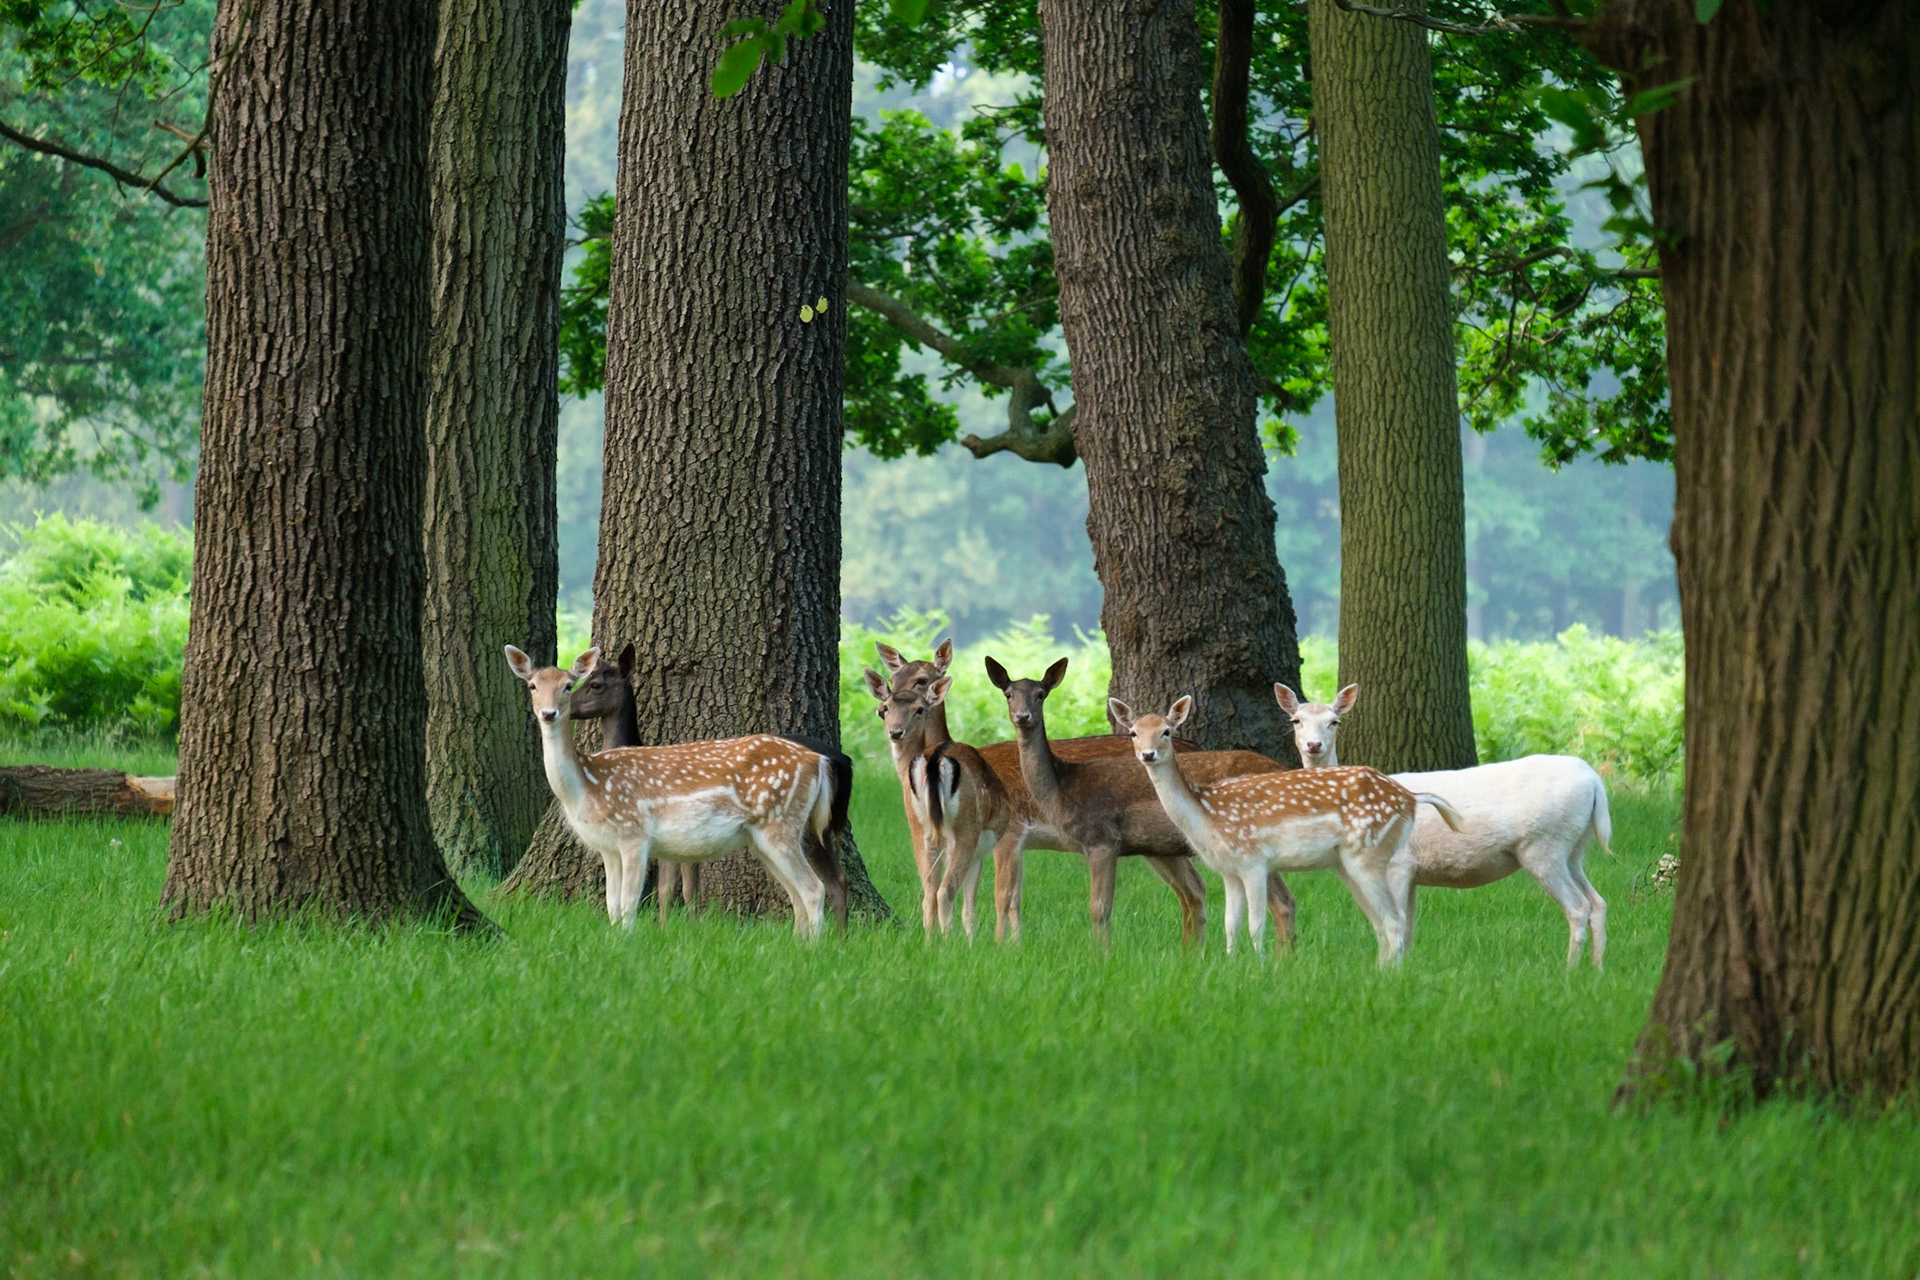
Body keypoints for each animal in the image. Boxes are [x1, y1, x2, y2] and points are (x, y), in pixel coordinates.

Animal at [505, 645, 850, 936]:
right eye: (532, 685)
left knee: (813, 888)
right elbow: (612, 905)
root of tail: (819, 760)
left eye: (569, 685)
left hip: (782, 823)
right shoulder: (608, 847)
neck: (588, 785)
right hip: (762, 838)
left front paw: (628, 945)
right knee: (797, 894)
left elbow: (630, 904)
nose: (548, 713)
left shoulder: (634, 835)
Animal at [986, 656, 1304, 948]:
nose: (1022, 716)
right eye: (1008, 694)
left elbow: (1097, 909)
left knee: (1281, 901)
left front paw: (1099, 957)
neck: (1064, 787)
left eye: (1041, 693)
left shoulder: (1100, 840)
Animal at [1113, 695, 1463, 964]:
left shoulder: (1254, 861)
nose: (1147, 754)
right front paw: (1229, 966)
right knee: (1382, 922)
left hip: (1369, 852)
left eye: (1167, 731)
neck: (1207, 815)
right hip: (1349, 863)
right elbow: (1230, 924)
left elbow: (1256, 923)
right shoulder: (1229, 870)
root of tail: (1411, 798)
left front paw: (1258, 969)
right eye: (1133, 733)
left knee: (1394, 920)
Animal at [1275, 681, 1613, 967]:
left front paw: (1387, 971)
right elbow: (1407, 927)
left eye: (1335, 721)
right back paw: (1596, 970)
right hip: (1574, 848)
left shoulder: (1398, 863)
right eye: (1296, 721)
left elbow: (1393, 922)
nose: (1314, 744)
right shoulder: (1412, 874)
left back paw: (1570, 970)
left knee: (1578, 907)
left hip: (1544, 845)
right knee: (1597, 902)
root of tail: (1594, 780)